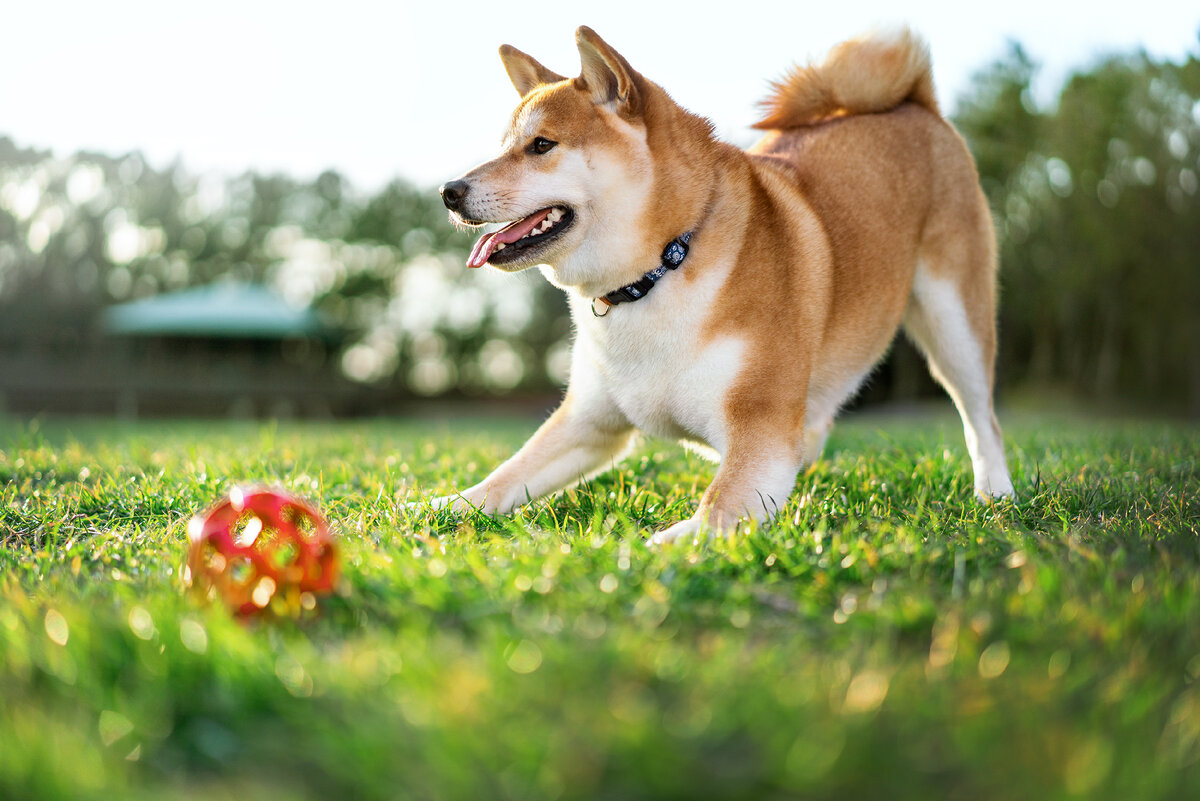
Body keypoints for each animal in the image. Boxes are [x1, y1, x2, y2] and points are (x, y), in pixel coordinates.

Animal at [432, 25, 1012, 544]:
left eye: (541, 145)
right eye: (503, 146)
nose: (449, 191)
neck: (661, 268)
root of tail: (916, 102)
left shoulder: (760, 427)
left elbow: (719, 504)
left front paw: (669, 543)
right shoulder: (589, 422)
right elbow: (504, 477)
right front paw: (436, 506)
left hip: (954, 323)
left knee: (982, 419)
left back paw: (996, 496)